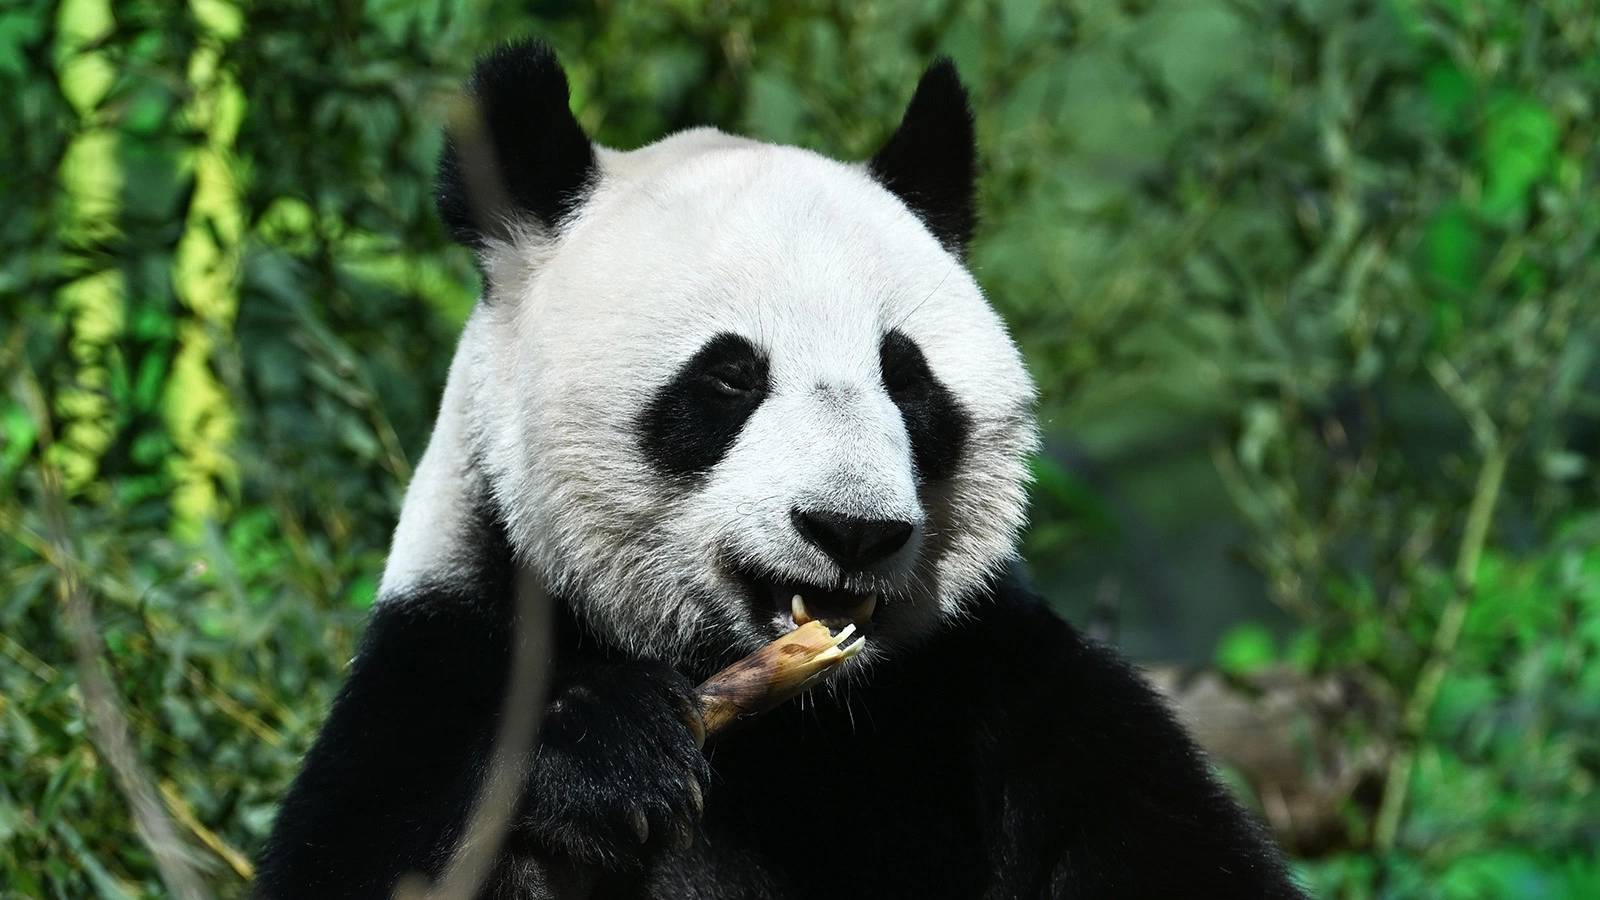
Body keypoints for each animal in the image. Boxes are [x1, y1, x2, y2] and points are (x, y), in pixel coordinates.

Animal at [256, 40, 1312, 896]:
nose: (853, 530)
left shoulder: (1005, 687)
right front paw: (604, 755)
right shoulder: (449, 652)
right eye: (730, 377)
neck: (799, 721)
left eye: (906, 377)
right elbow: (374, 851)